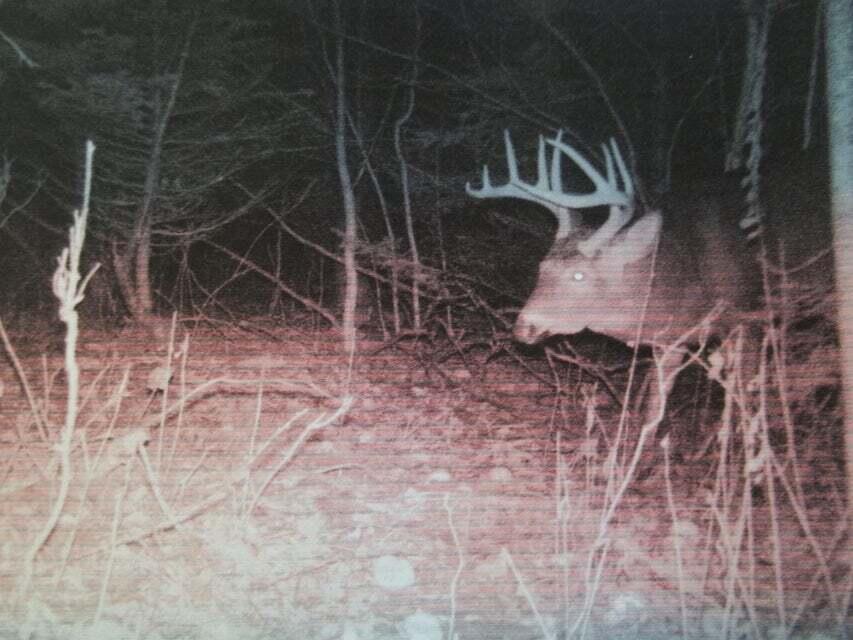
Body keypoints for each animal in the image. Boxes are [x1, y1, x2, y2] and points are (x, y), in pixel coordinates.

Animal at [466, 130, 759, 444]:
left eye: (579, 275)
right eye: (542, 266)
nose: (523, 327)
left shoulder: (745, 317)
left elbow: (746, 391)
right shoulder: (671, 338)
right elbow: (654, 406)